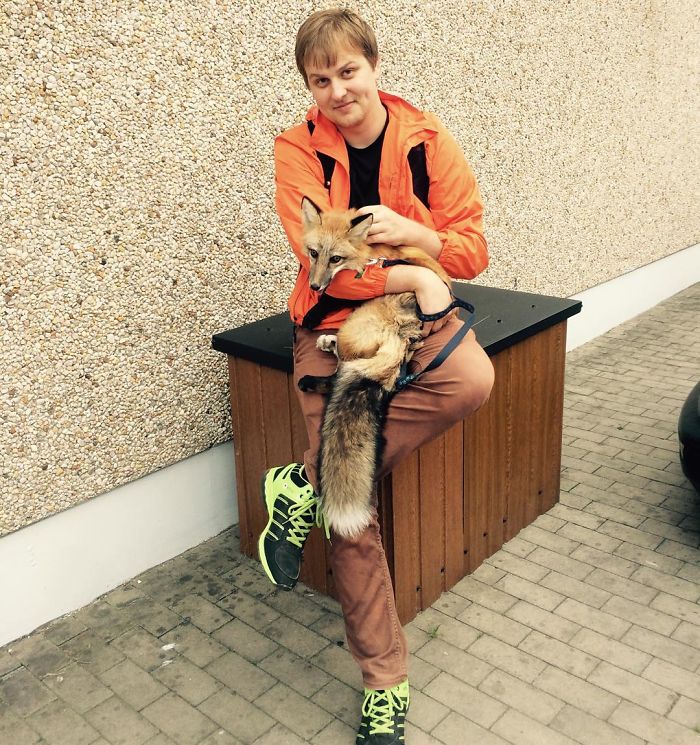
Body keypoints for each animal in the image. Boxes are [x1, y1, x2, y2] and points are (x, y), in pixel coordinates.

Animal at [297, 197, 452, 538]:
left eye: (335, 258)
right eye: (313, 253)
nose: (314, 285)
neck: (370, 252)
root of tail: (400, 333)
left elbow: (334, 298)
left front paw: (313, 314)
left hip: (353, 327)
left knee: (340, 370)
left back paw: (316, 367)